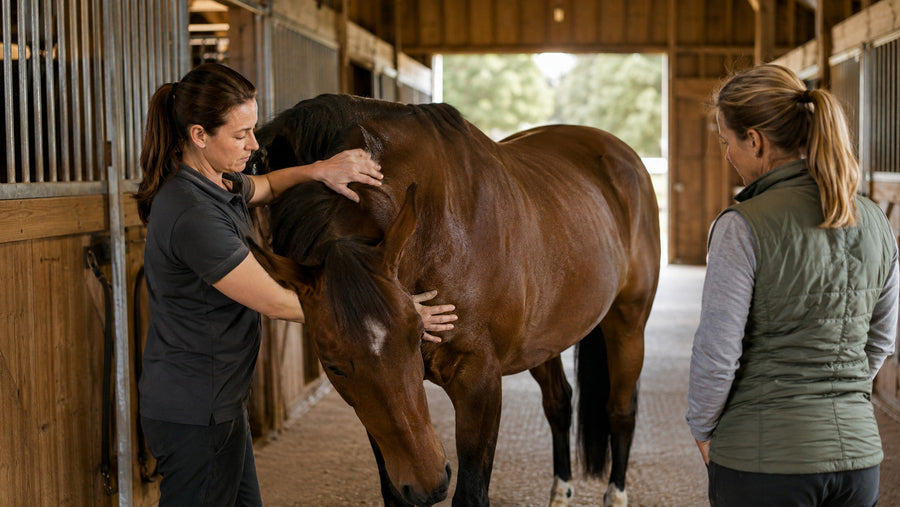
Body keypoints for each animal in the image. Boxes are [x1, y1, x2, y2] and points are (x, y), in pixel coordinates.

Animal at [248, 94, 660, 507]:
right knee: (559, 403)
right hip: (543, 340)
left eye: (415, 337)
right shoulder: (374, 416)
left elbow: (472, 493)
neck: (436, 233)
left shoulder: (479, 383)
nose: (428, 483)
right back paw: (560, 491)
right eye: (334, 366)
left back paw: (616, 493)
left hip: (627, 324)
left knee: (620, 410)